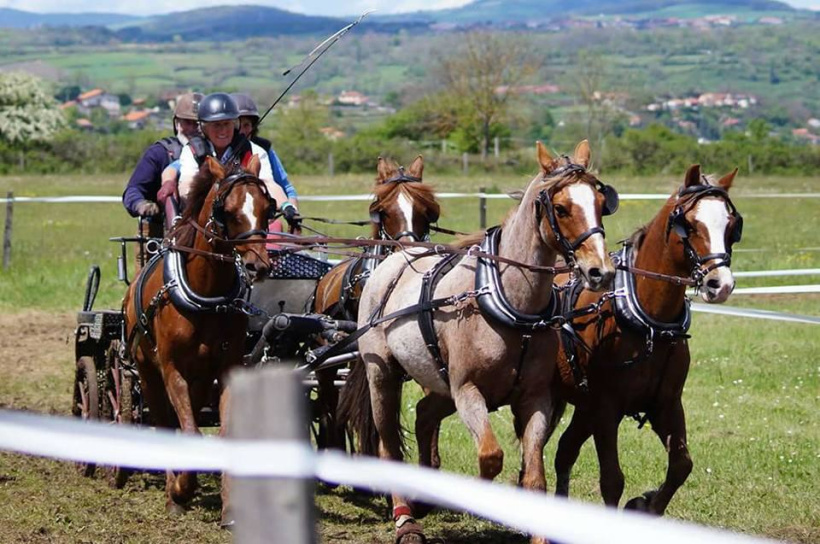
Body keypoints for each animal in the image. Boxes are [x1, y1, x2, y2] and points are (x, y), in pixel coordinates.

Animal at [123, 155, 274, 520]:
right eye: (228, 211)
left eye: (267, 208)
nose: (258, 266)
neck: (206, 295)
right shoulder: (172, 370)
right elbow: (188, 428)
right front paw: (180, 490)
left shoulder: (225, 369)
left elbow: (224, 431)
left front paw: (230, 506)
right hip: (147, 372)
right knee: (164, 422)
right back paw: (172, 490)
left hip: (200, 380)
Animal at [338, 141, 616, 544]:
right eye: (561, 208)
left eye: (601, 200)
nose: (601, 271)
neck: (513, 305)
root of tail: (395, 260)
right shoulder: (468, 391)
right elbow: (490, 457)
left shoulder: (535, 398)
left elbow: (535, 476)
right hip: (383, 375)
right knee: (387, 442)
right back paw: (406, 518)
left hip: (438, 382)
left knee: (425, 416)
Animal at [552, 167, 744, 520]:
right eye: (689, 224)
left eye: (731, 225)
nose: (720, 284)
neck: (650, 324)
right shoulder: (606, 408)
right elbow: (612, 480)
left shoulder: (667, 404)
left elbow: (681, 465)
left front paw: (647, 504)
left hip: (582, 405)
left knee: (564, 450)